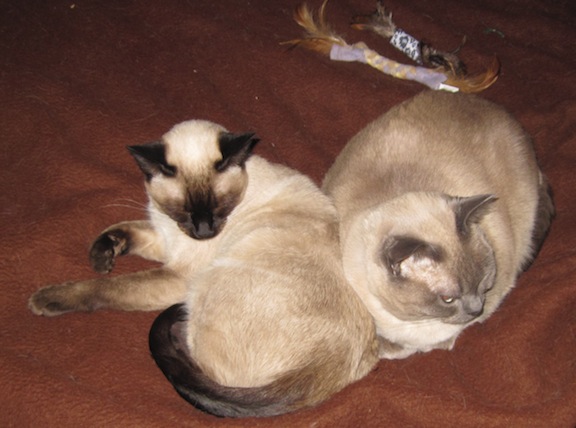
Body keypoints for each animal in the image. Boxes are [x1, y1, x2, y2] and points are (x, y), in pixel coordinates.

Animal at [28, 119, 379, 417]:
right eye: (182, 210)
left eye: (220, 206)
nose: (204, 230)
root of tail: (324, 374)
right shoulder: (165, 239)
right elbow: (122, 231)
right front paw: (101, 258)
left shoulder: (178, 274)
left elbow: (105, 288)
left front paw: (45, 300)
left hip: (203, 287)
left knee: (199, 366)